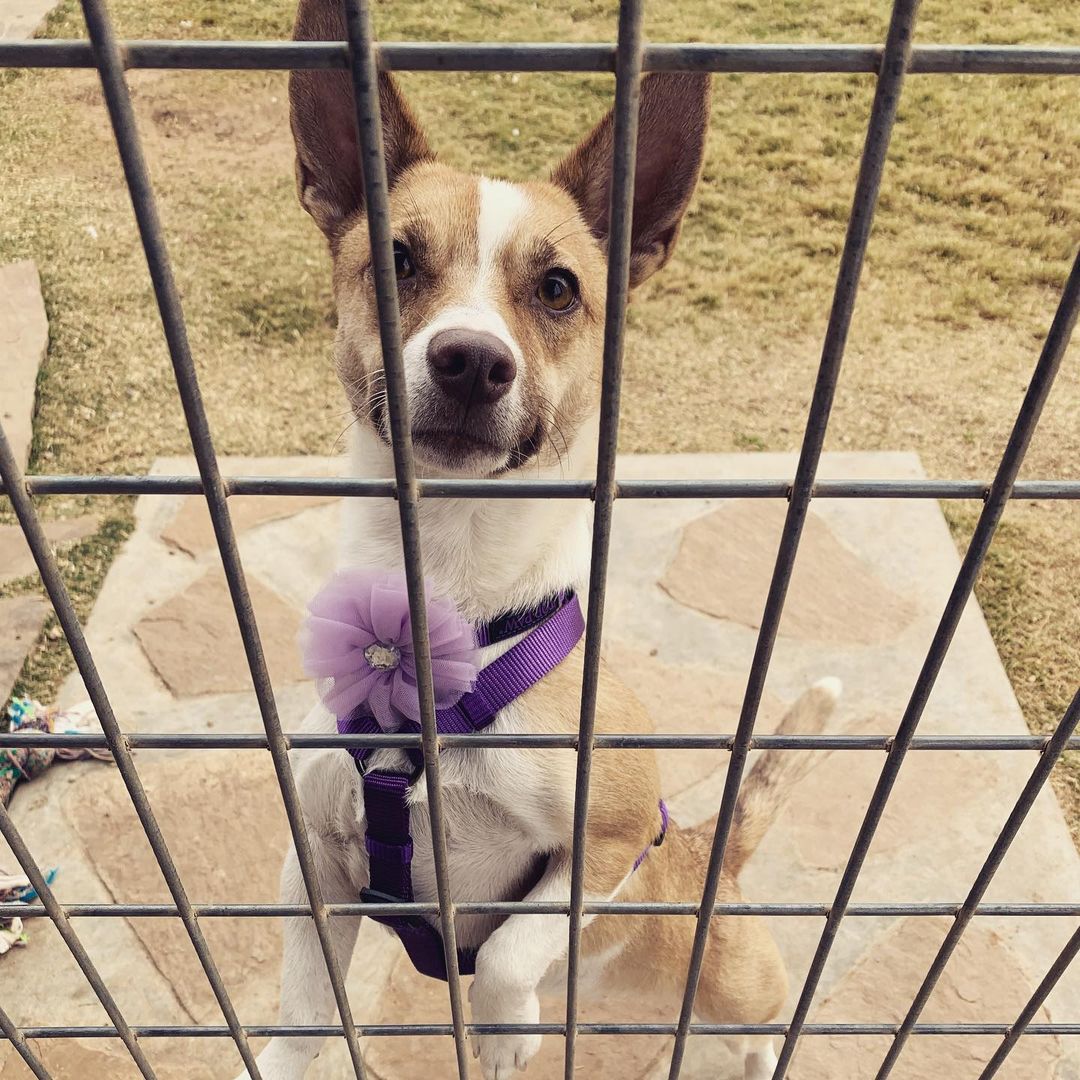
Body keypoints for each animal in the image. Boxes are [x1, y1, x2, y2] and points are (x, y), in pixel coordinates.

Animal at [240, 4, 838, 1075]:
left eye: (559, 289)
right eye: (396, 259)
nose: (471, 360)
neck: (445, 619)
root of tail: (712, 856)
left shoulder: (610, 841)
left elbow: (516, 948)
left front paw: (508, 1023)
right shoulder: (313, 867)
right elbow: (308, 1010)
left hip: (737, 983)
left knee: (765, 1026)